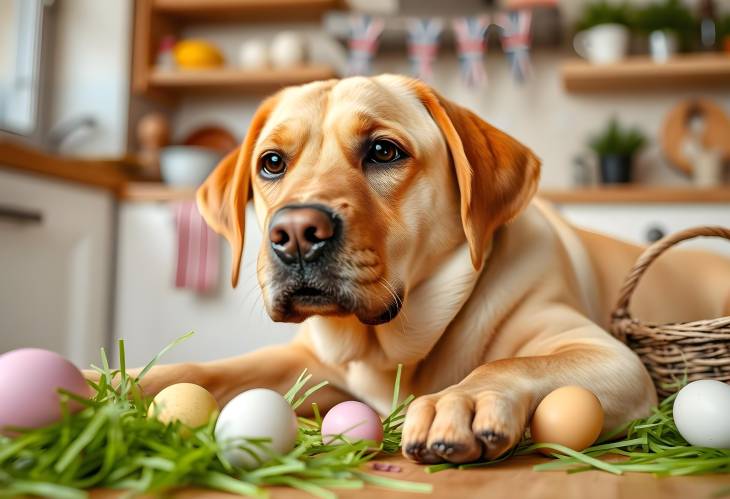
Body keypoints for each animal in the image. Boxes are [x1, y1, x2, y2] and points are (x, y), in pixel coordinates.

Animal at [131, 74, 728, 464]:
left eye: (383, 151)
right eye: (272, 162)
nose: (295, 233)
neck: (390, 350)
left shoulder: (609, 355)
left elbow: (510, 363)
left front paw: (457, 402)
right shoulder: (306, 361)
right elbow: (210, 370)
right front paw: (117, 379)